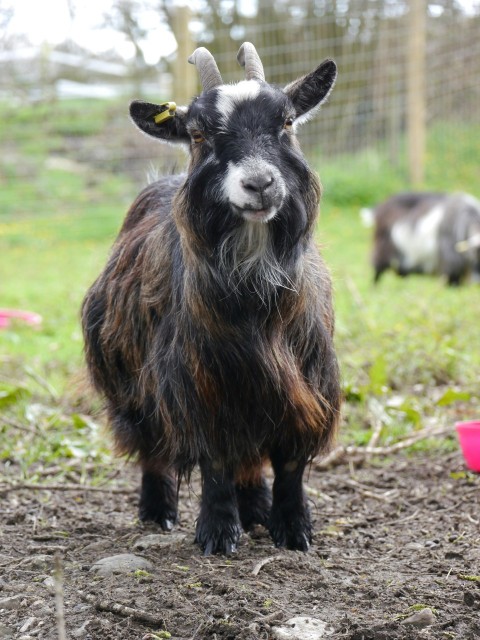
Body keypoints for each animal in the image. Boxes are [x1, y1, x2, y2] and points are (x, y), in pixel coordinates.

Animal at [81, 43, 342, 556]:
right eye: (199, 132)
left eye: (286, 121)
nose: (259, 184)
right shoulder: (201, 384)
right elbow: (215, 460)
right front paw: (218, 534)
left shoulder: (306, 381)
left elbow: (289, 463)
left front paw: (294, 529)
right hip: (129, 382)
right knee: (153, 450)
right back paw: (159, 512)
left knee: (250, 460)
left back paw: (256, 508)